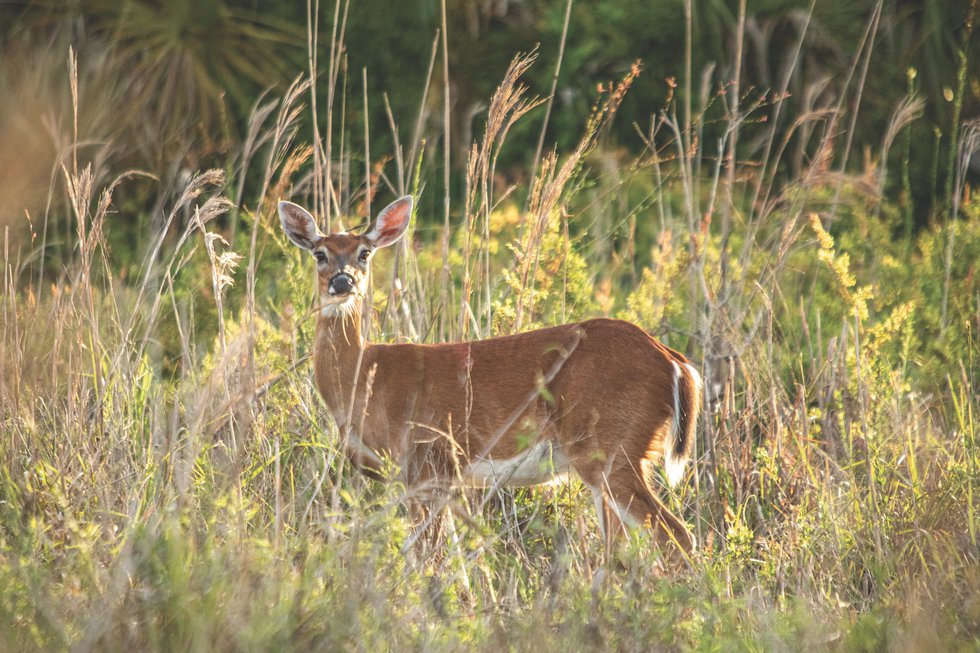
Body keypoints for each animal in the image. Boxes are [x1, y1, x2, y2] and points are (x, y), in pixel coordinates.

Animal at [280, 194, 700, 556]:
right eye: (320, 253)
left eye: (364, 253)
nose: (342, 281)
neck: (364, 376)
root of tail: (674, 362)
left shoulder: (425, 461)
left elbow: (423, 553)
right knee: (621, 547)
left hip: (613, 445)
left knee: (675, 534)